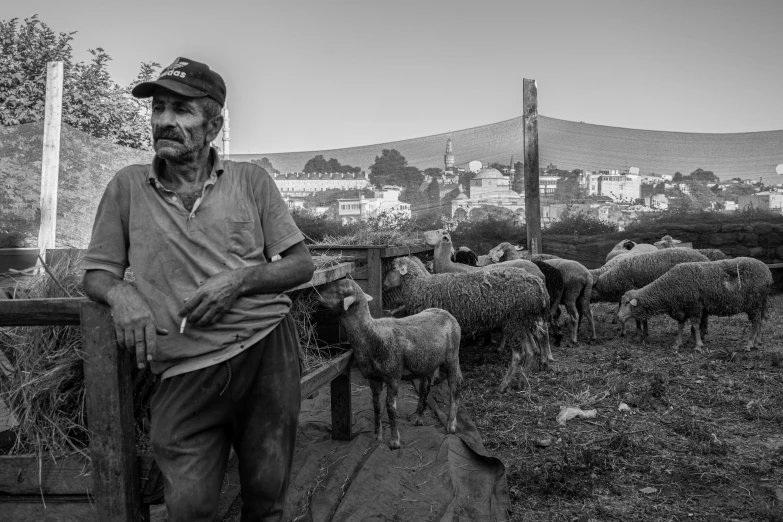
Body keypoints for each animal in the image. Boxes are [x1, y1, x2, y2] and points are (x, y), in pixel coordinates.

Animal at [320, 278, 466, 444]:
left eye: (339, 291)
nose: (316, 293)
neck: (370, 333)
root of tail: (446, 312)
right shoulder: (373, 378)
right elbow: (376, 406)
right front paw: (377, 436)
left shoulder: (393, 375)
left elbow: (390, 407)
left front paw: (395, 440)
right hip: (426, 363)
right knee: (425, 388)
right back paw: (419, 418)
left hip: (452, 357)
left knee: (455, 386)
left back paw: (451, 424)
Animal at [382, 256, 548, 390]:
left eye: (393, 268)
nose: (383, 286)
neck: (420, 287)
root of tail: (540, 286)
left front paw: (444, 378)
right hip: (522, 322)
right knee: (532, 351)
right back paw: (522, 382)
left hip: (513, 322)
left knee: (519, 355)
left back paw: (503, 385)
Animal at [620, 256, 776, 350]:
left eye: (627, 303)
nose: (619, 317)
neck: (669, 288)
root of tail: (768, 273)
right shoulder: (681, 308)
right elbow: (681, 325)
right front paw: (678, 343)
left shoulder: (694, 306)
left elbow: (695, 325)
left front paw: (698, 345)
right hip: (760, 302)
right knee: (760, 321)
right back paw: (757, 342)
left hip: (754, 303)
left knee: (755, 322)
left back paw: (749, 344)